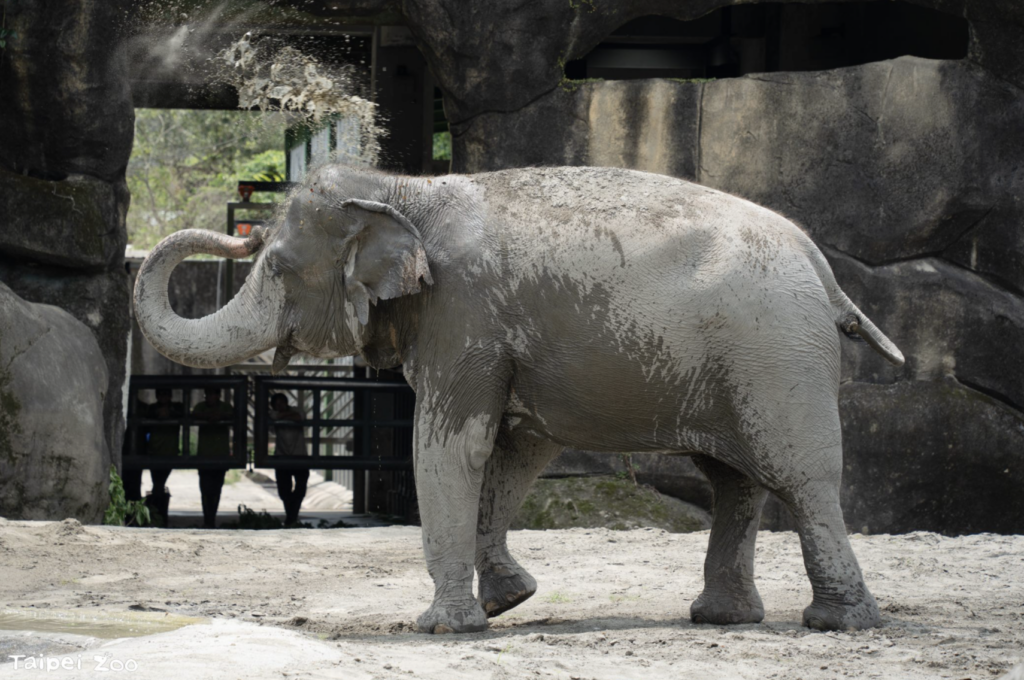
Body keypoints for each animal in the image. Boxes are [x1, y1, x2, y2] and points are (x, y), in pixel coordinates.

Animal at [134, 164, 904, 634]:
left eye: (281, 267)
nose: (237, 231)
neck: (402, 188)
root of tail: (819, 263)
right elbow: (517, 449)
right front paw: (509, 601)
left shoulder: (464, 314)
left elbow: (451, 445)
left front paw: (444, 628)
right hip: (740, 363)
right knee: (734, 480)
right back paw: (723, 617)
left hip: (776, 357)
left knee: (800, 476)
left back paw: (839, 623)